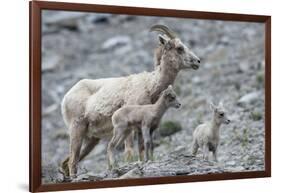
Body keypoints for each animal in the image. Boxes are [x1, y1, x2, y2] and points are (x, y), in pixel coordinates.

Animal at [60, 24, 200, 178]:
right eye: (179, 48)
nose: (197, 61)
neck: (149, 86)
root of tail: (66, 98)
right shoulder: (132, 128)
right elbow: (129, 151)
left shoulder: (140, 128)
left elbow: (142, 148)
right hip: (77, 130)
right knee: (73, 161)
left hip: (92, 139)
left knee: (68, 161)